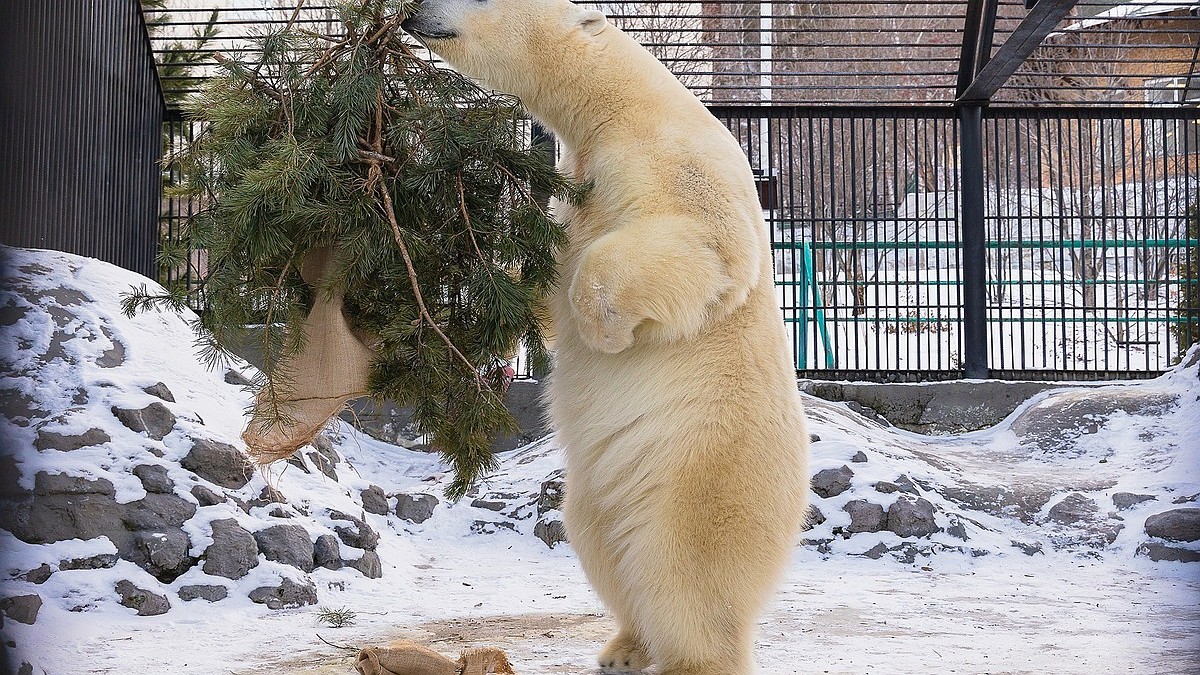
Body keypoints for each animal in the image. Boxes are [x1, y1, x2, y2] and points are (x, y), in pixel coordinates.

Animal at [400, 2, 806, 667]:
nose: (415, 13)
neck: (613, 109)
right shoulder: (571, 184)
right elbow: (542, 280)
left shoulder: (671, 162)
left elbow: (705, 247)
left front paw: (604, 333)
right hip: (600, 488)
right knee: (601, 543)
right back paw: (624, 645)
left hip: (703, 465)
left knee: (686, 570)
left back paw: (690, 657)